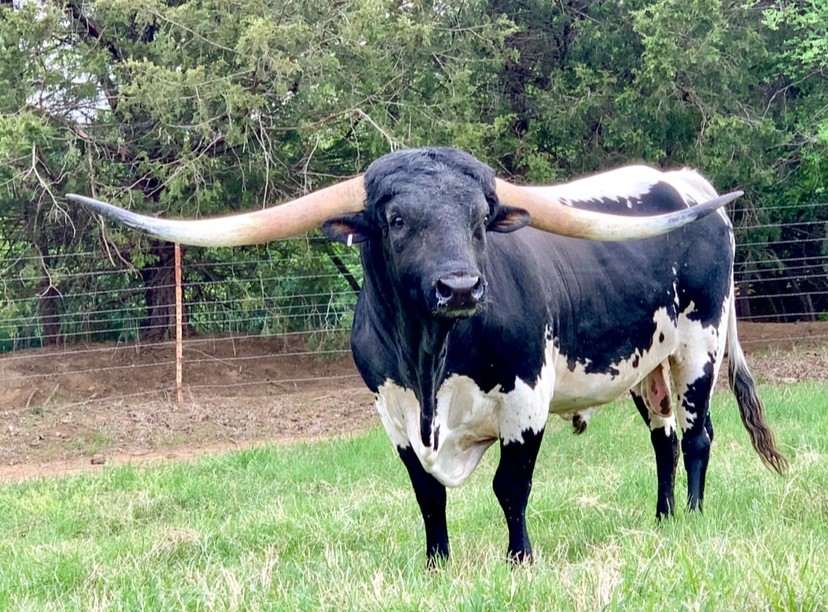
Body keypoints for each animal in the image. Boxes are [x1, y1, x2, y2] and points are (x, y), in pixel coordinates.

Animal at [67, 147, 787, 565]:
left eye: (479, 218)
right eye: (395, 219)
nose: (461, 287)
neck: (431, 358)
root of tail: (679, 181)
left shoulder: (525, 399)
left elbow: (510, 488)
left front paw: (520, 560)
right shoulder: (393, 412)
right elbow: (426, 495)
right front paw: (436, 564)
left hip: (699, 347)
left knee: (696, 437)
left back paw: (692, 519)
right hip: (646, 366)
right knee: (663, 438)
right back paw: (662, 520)